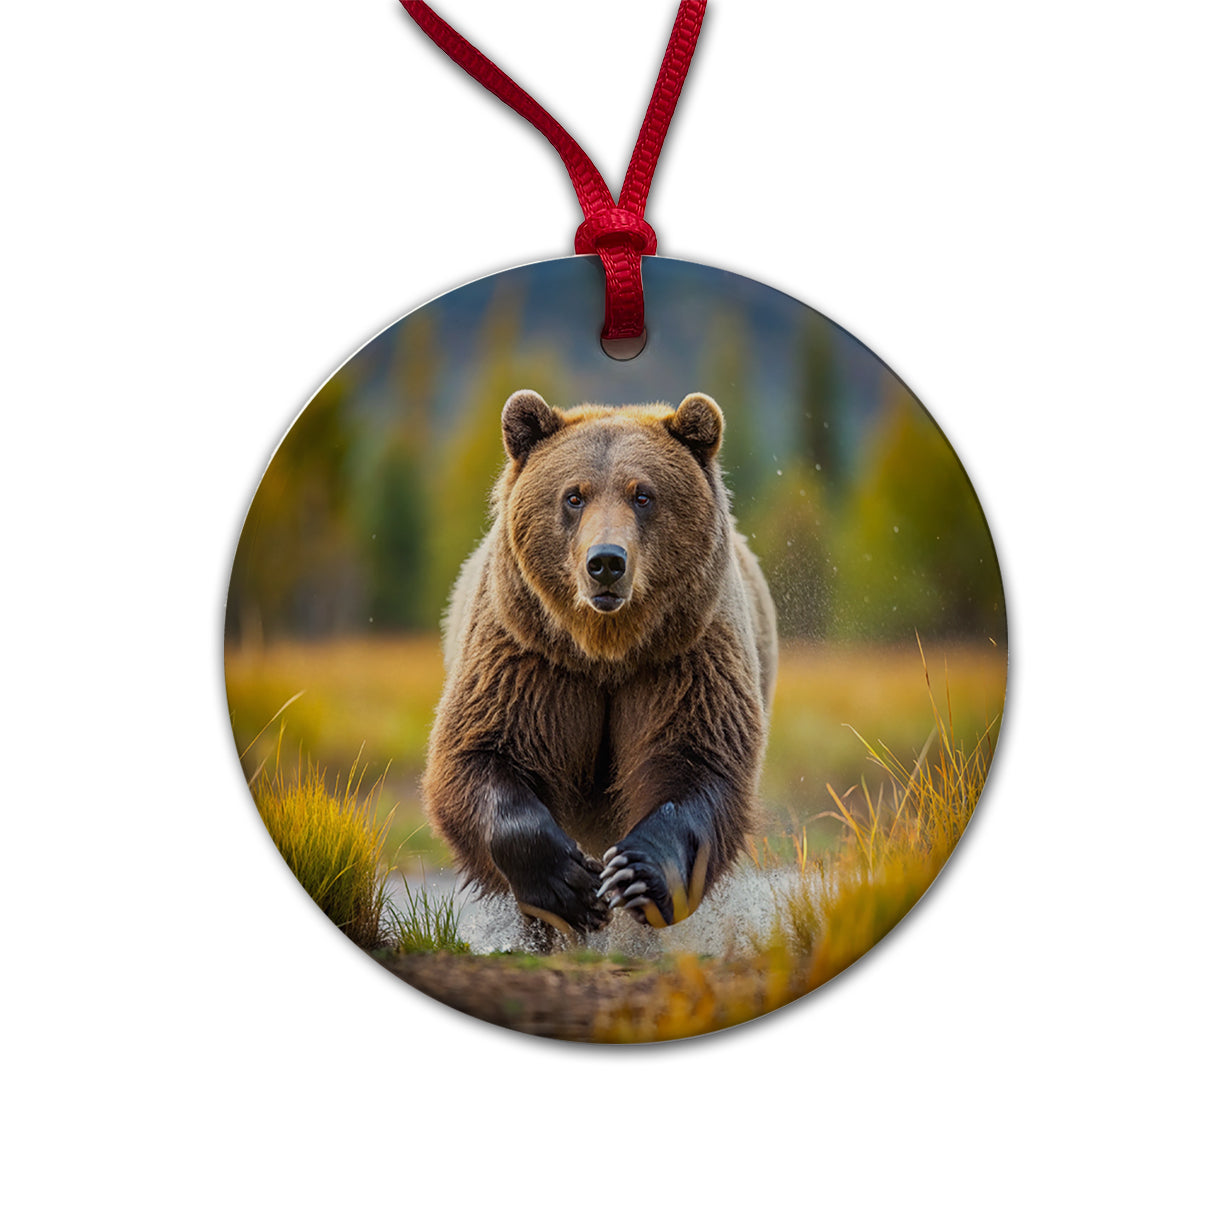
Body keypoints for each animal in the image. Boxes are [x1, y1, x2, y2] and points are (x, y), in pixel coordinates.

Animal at [422, 389, 778, 936]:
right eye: (574, 495)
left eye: (643, 495)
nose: (606, 562)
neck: (605, 650)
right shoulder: (528, 657)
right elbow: (481, 752)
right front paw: (569, 884)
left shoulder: (684, 658)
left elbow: (699, 759)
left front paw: (635, 873)